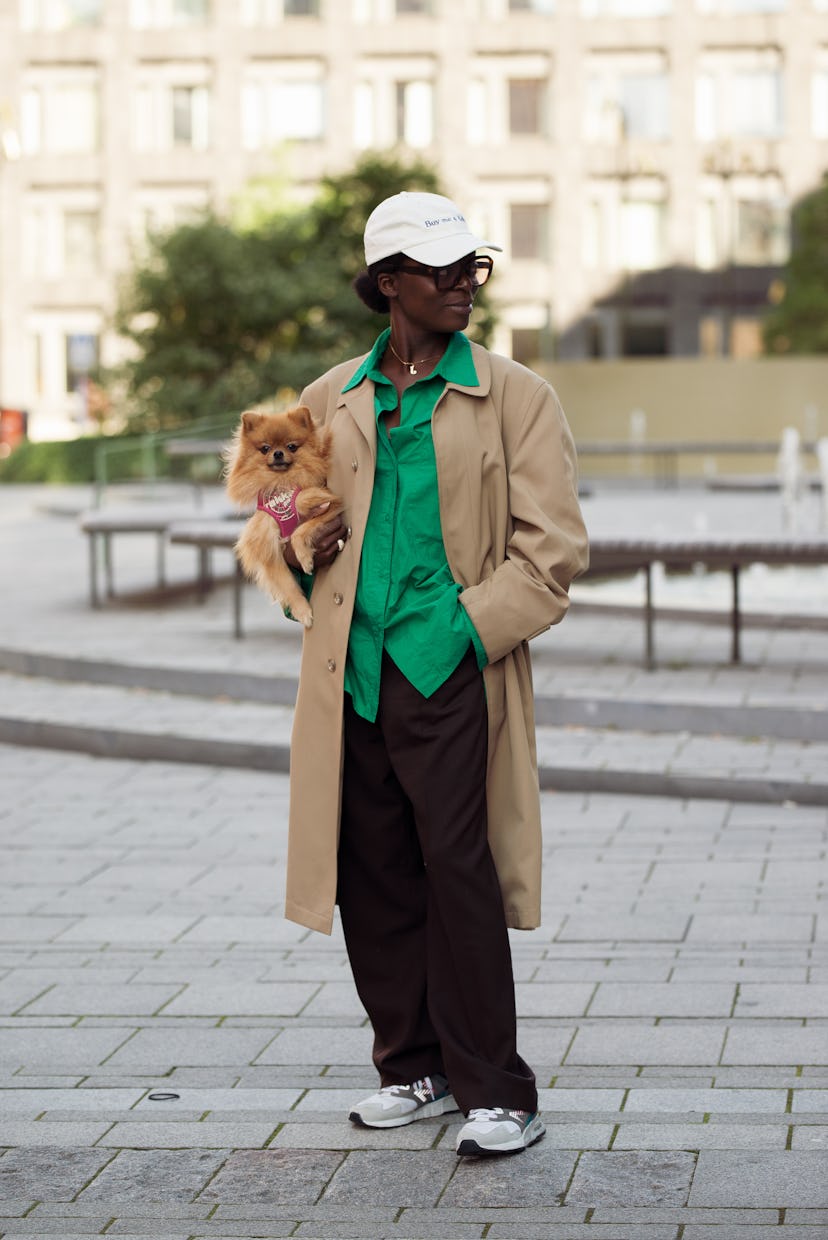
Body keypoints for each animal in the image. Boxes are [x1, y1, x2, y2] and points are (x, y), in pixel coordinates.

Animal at [223, 401, 342, 624]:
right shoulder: (267, 545)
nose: (278, 453)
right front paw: (302, 610)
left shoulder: (329, 504)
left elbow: (299, 531)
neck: (281, 483)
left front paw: (305, 558)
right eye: (265, 448)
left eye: (291, 446)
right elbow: (287, 584)